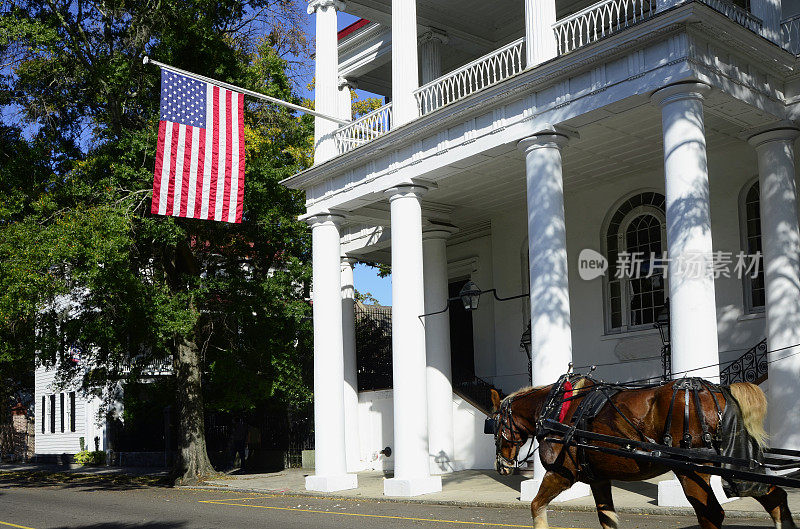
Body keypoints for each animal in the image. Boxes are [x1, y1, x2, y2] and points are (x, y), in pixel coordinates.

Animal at [490, 378, 796, 528]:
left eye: (495, 424)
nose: (502, 466)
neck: (557, 410)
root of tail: (720, 390)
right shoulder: (598, 478)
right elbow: (607, 519)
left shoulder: (560, 474)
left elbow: (535, 506)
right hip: (738, 463)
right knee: (775, 497)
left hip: (690, 470)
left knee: (712, 515)